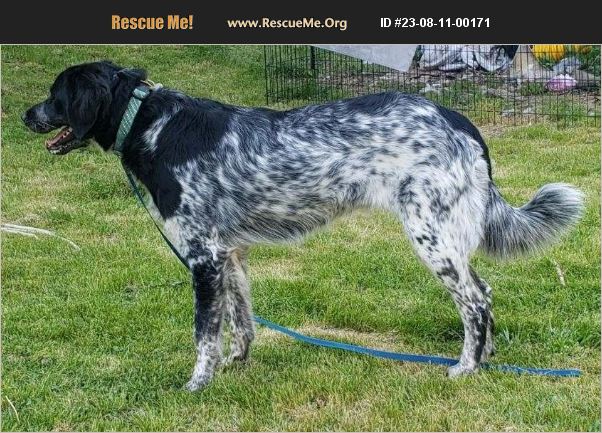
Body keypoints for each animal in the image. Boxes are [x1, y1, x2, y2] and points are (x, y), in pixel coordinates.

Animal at [23, 61, 583, 391]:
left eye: (55, 95)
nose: (27, 115)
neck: (150, 123)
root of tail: (458, 119)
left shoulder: (203, 257)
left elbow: (204, 334)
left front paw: (198, 386)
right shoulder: (229, 255)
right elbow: (241, 322)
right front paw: (237, 366)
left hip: (431, 235)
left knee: (474, 300)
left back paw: (466, 367)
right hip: (447, 237)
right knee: (483, 292)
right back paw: (485, 359)